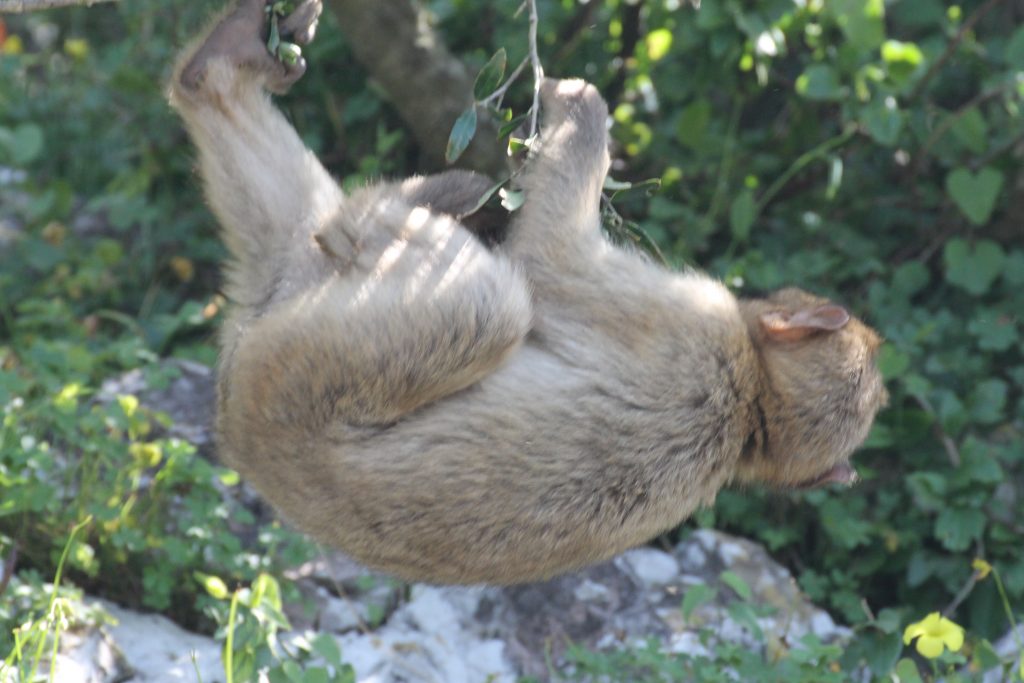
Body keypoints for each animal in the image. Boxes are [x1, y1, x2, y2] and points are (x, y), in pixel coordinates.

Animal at [169, 1, 888, 589]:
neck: (751, 413)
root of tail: (242, 438)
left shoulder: (687, 319)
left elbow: (548, 262)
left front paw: (580, 105)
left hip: (294, 369)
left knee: (486, 310)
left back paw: (384, 207)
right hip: (281, 314)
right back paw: (222, 68)